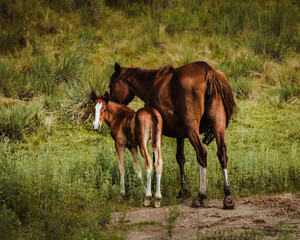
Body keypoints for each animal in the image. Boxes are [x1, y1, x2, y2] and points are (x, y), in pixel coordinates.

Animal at [109, 61, 236, 208]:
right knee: (222, 153)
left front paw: (153, 188)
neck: (152, 84)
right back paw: (228, 196)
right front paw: (184, 189)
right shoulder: (180, 135)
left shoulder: (156, 135)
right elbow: (180, 158)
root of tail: (207, 71)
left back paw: (201, 195)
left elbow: (154, 160)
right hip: (218, 124)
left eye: (111, 86)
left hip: (192, 128)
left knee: (202, 154)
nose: (110, 104)